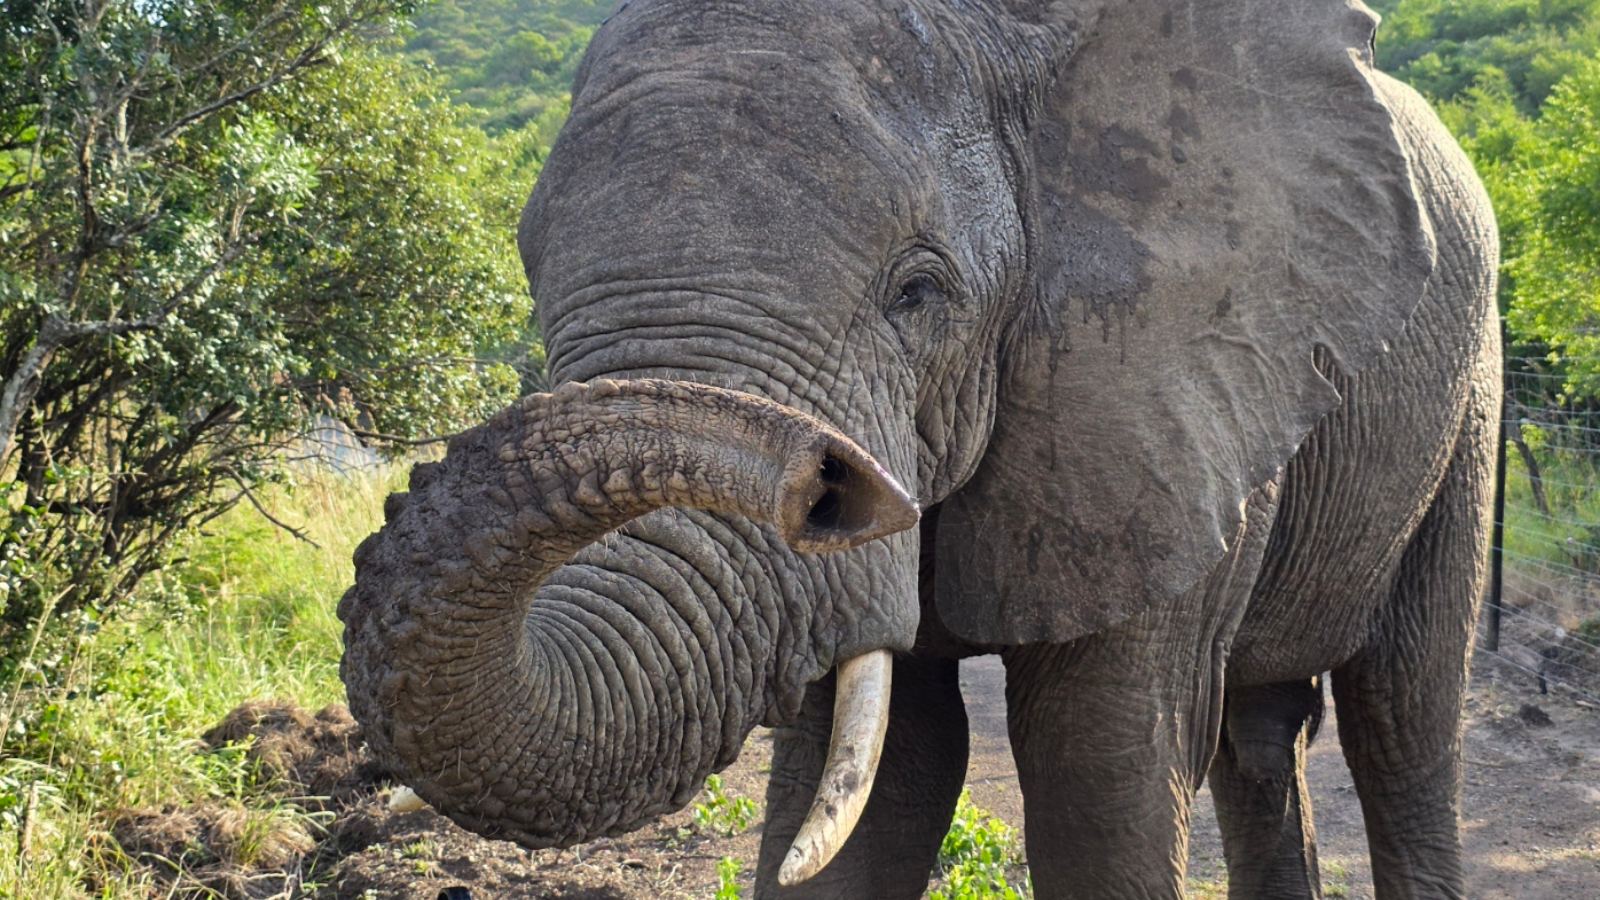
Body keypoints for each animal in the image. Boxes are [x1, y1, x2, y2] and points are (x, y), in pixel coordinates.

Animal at [337, 0, 1501, 897]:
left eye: (918, 293)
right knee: (1261, 738)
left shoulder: (1170, 386)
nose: (826, 480)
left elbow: (1102, 765)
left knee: (1403, 719)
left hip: (1474, 386)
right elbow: (878, 770)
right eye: (531, 278)